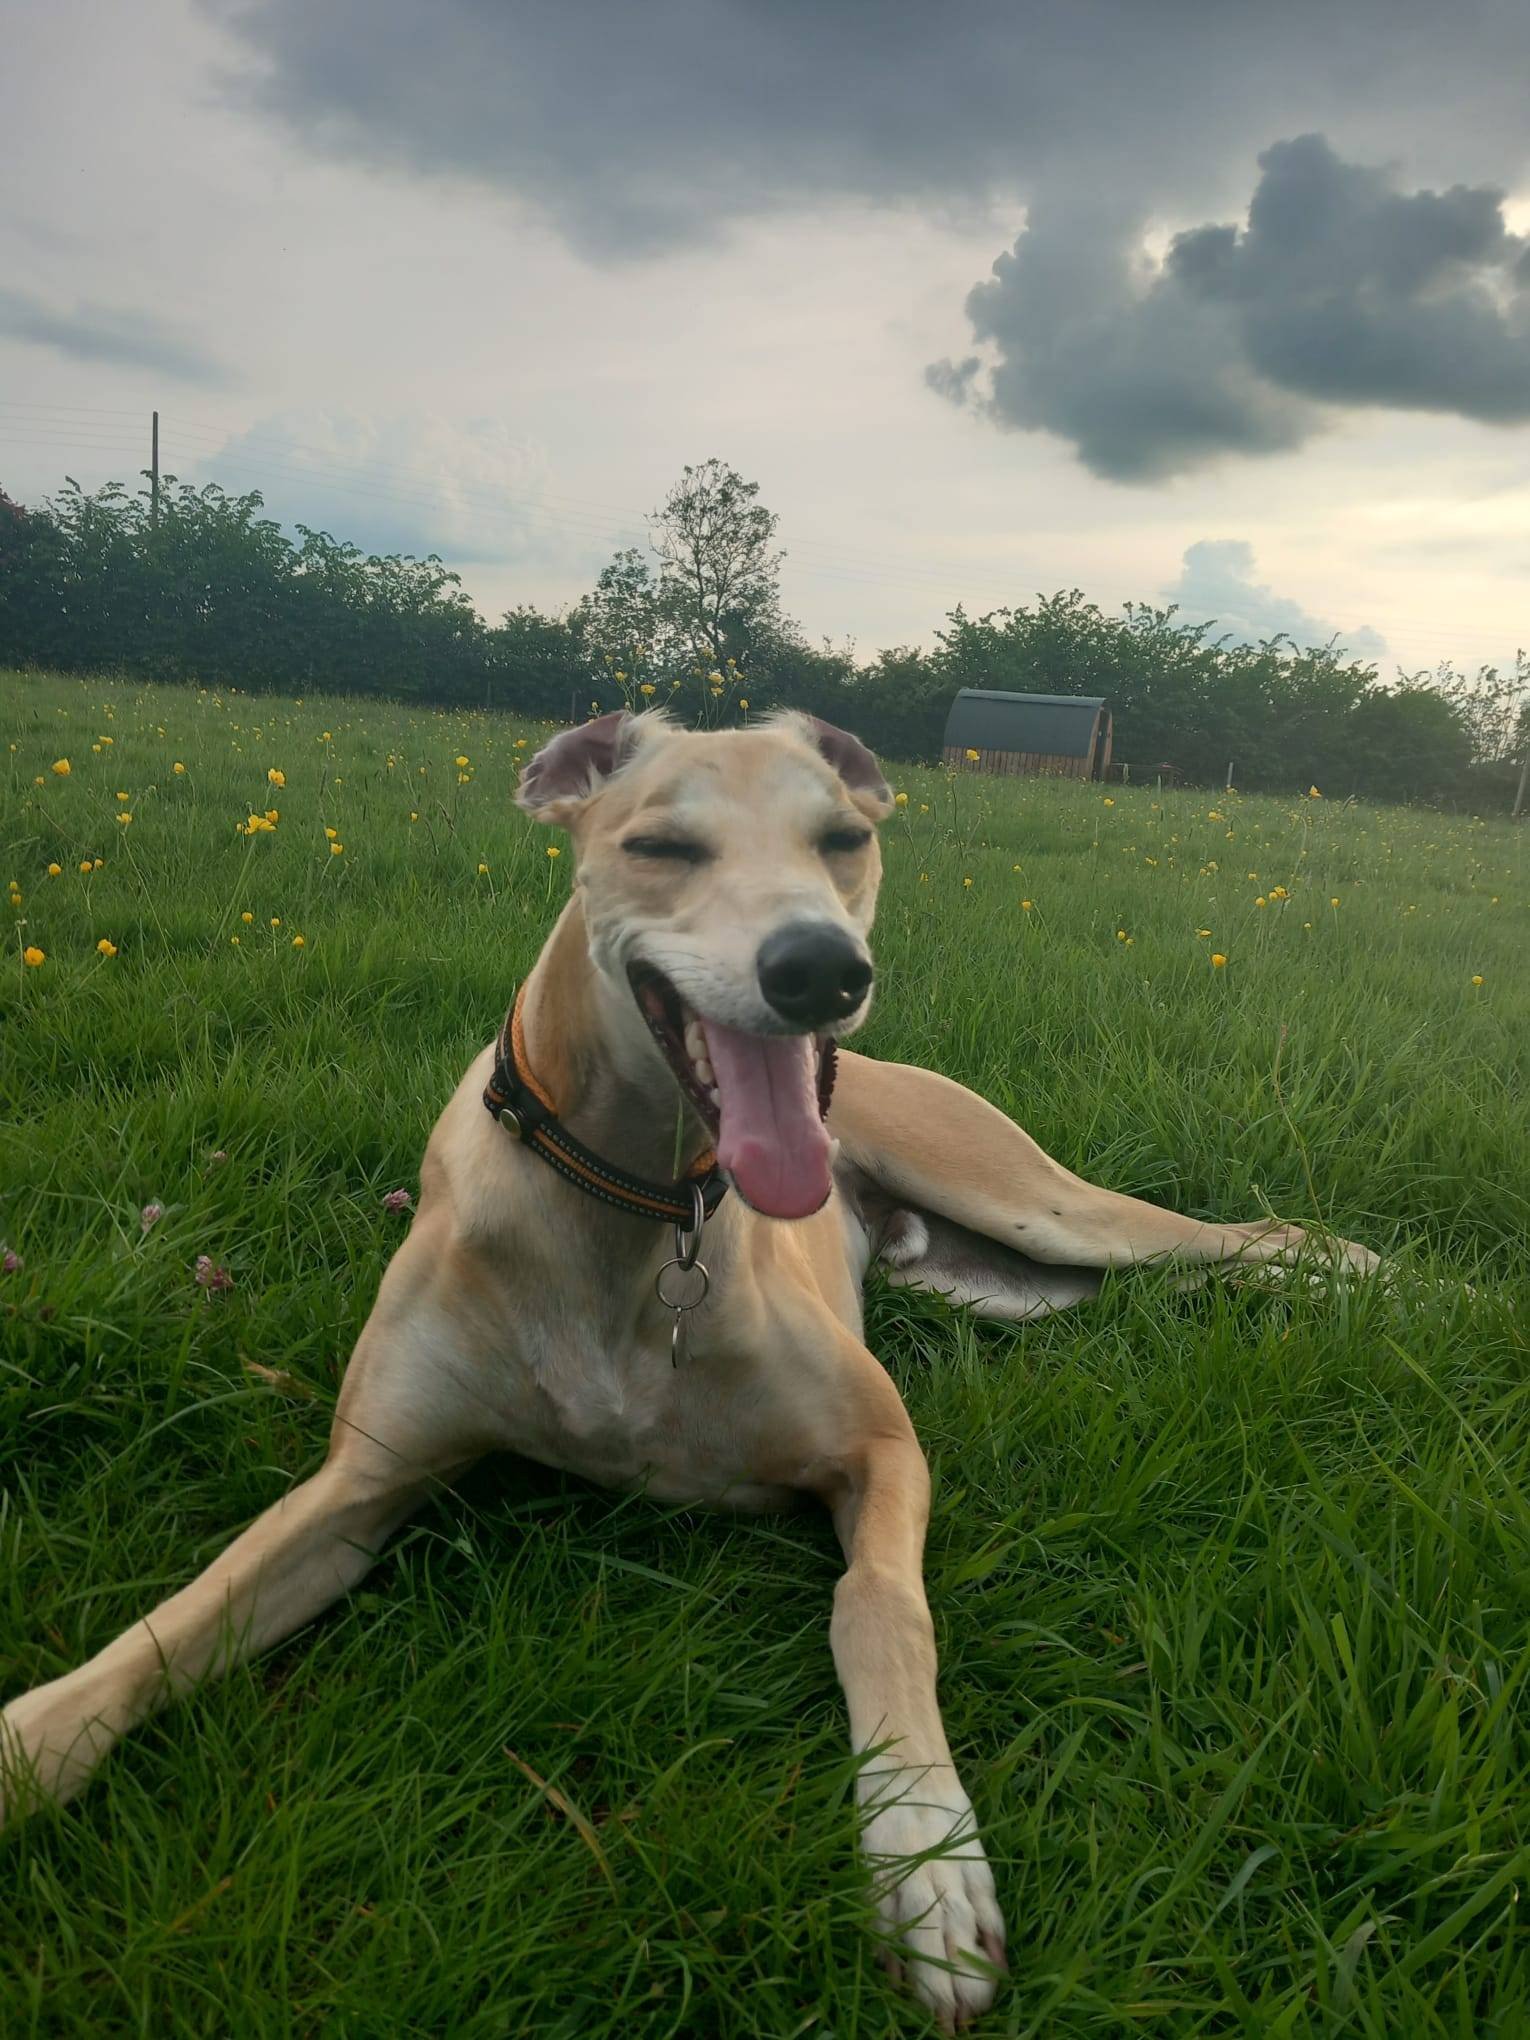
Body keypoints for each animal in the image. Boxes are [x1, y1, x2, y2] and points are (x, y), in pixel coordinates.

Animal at [1, 711, 1378, 2028]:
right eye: (661, 844)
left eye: (843, 839)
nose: (819, 970)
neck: (636, 1205)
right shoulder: (361, 1485)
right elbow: (183, 1617)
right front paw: (29, 1748)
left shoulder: (881, 1449)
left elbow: (876, 1605)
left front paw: (926, 1864)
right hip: (999, 1280)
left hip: (1032, 1203)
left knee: (1225, 1234)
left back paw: (1352, 1272)